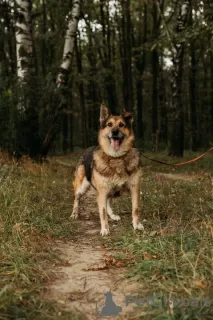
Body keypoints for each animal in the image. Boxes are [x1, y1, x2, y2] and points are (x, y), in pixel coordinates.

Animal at [71, 104, 143, 235]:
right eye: (109, 124)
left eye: (121, 125)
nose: (114, 132)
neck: (116, 157)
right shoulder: (102, 191)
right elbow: (102, 212)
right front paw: (105, 229)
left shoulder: (135, 188)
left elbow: (135, 209)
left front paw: (137, 225)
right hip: (81, 187)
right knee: (76, 199)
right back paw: (74, 214)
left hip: (114, 191)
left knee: (109, 201)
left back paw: (113, 215)